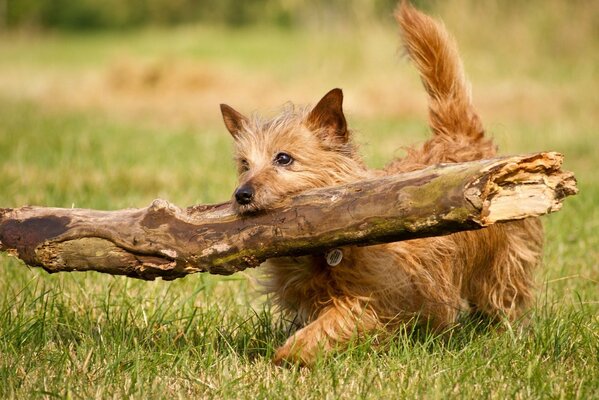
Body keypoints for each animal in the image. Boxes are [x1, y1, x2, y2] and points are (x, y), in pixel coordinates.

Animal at [219, 2, 544, 366]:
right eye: (244, 165)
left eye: (284, 159)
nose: (242, 195)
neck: (318, 254)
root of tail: (461, 137)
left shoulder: (375, 300)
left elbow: (334, 321)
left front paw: (291, 353)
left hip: (502, 262)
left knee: (505, 297)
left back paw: (502, 334)